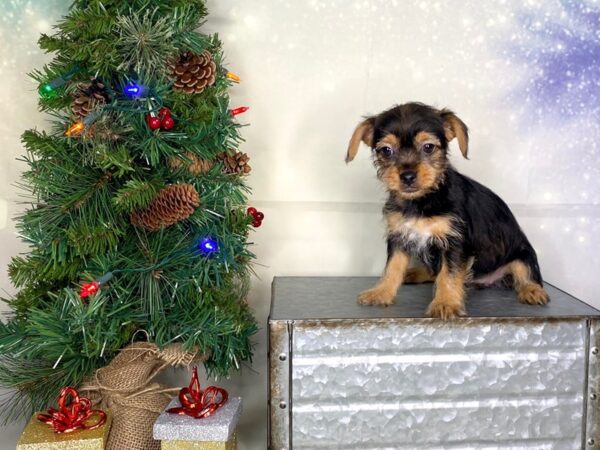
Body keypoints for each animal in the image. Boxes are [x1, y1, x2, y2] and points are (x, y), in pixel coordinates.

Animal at [346, 103, 548, 320]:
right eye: (386, 150)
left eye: (428, 147)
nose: (407, 176)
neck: (422, 200)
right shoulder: (399, 237)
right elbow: (392, 267)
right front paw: (381, 292)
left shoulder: (455, 242)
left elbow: (448, 275)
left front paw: (446, 303)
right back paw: (414, 273)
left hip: (522, 254)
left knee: (526, 274)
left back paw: (532, 291)